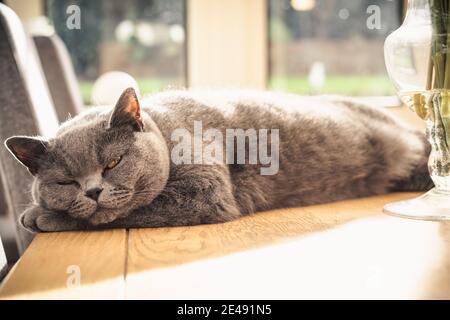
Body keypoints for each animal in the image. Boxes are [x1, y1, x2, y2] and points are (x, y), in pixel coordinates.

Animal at [3, 88, 432, 232]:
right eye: (65, 182)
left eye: (112, 163)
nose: (92, 191)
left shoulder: (202, 190)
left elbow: (131, 210)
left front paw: (41, 216)